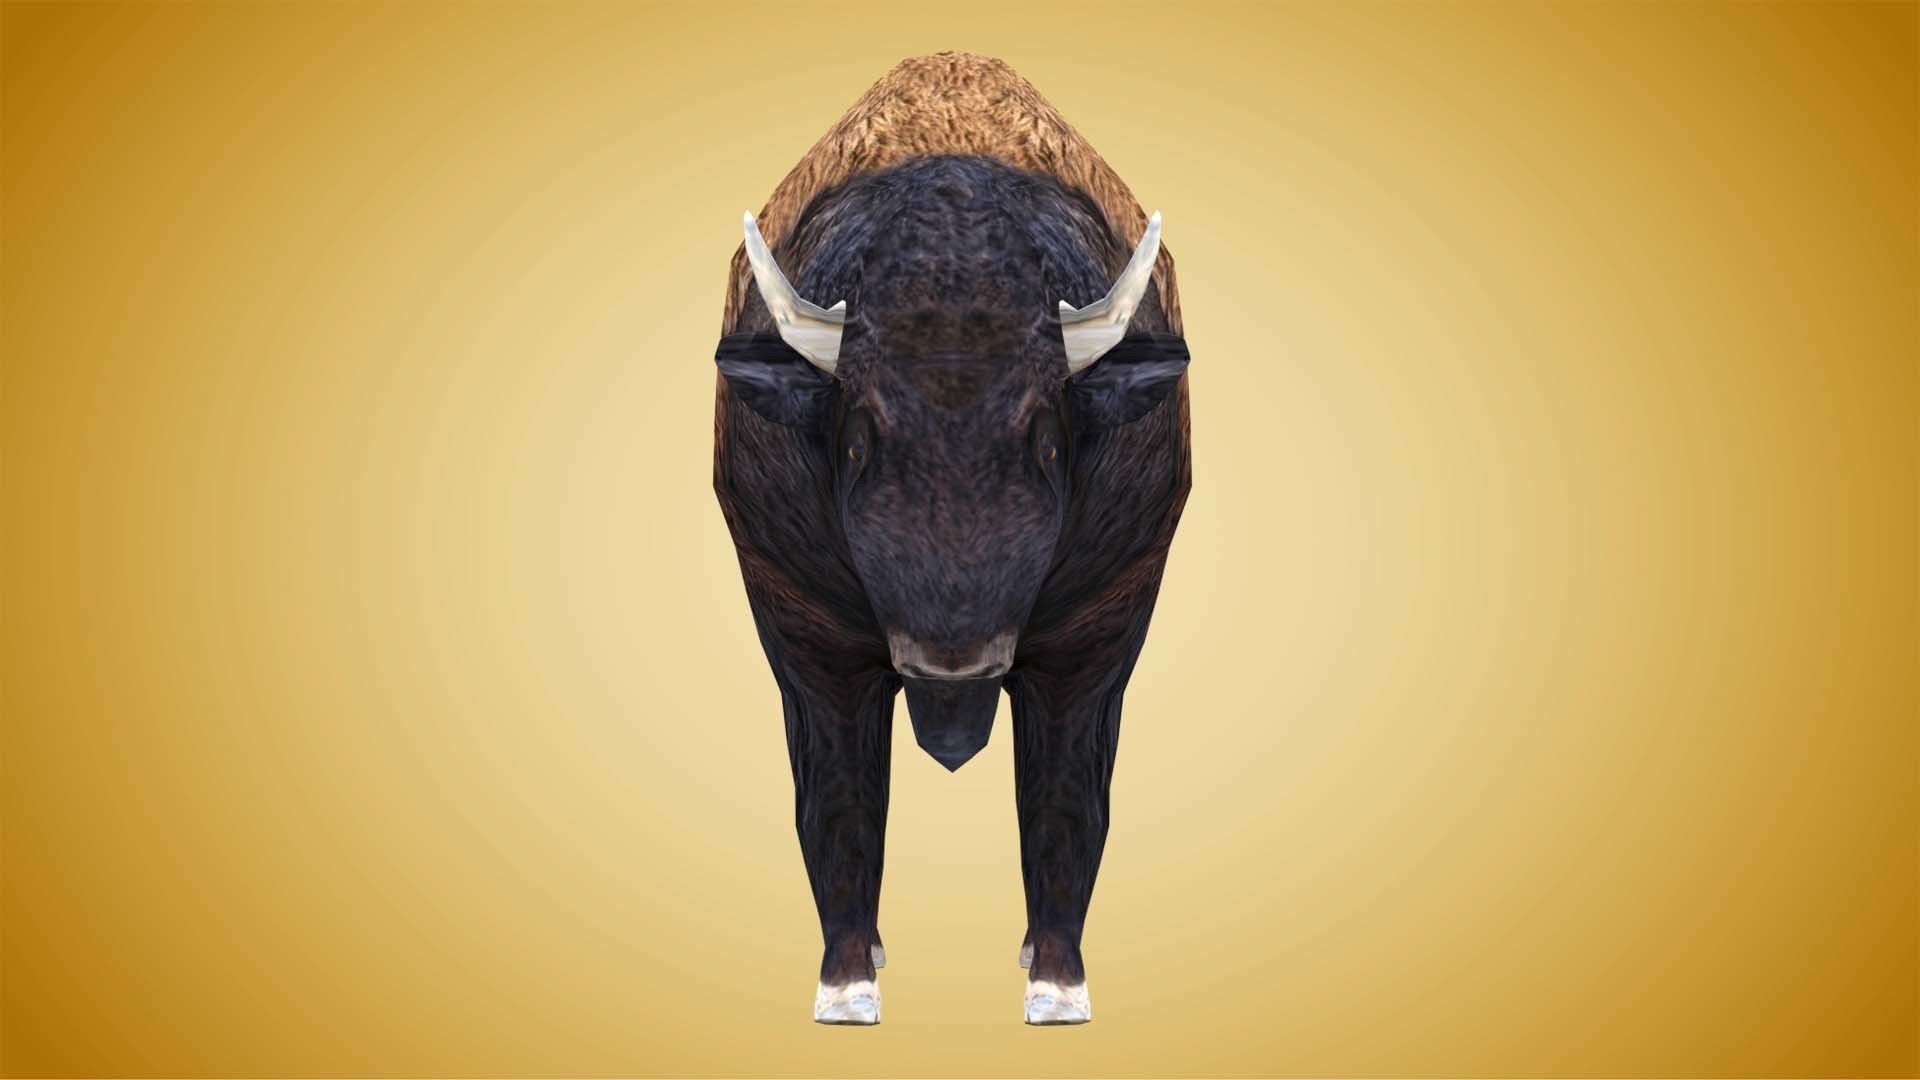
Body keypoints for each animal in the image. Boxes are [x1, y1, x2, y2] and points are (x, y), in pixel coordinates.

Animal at [711, 52, 1192, 1025]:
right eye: (857, 438)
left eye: (1048, 439)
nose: (953, 658)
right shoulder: (808, 638)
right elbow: (840, 803)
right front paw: (847, 988)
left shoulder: (1097, 638)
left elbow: (1064, 803)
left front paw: (1057, 988)